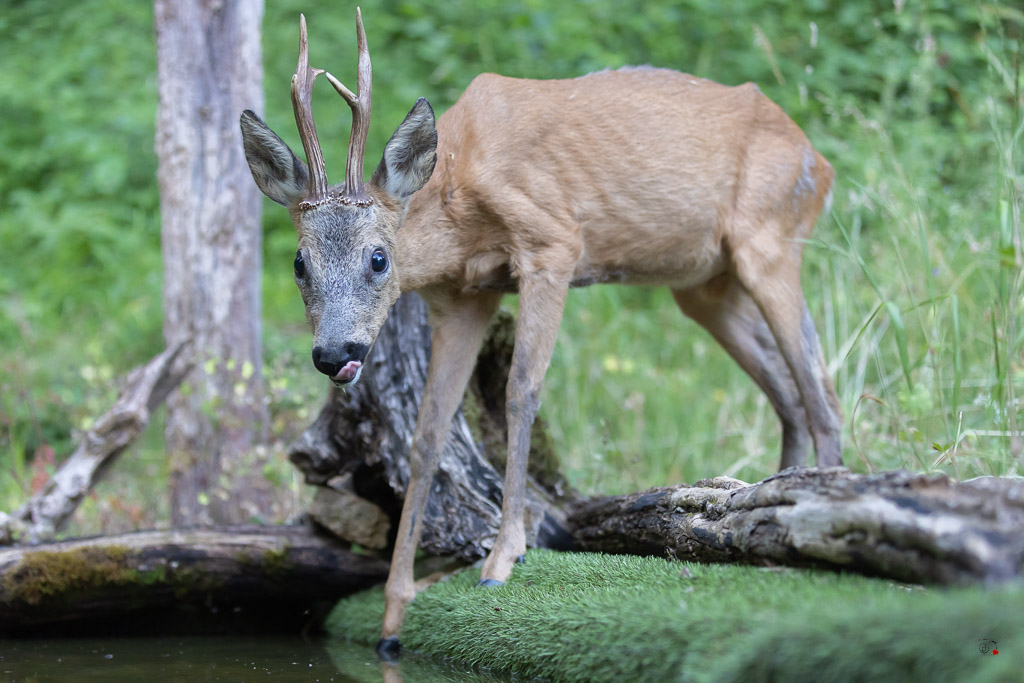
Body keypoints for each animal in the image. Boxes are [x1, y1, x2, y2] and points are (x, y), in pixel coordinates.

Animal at [240, 9, 842, 660]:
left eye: (379, 258)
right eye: (299, 263)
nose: (336, 353)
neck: (458, 199)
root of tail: (819, 158)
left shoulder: (552, 244)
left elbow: (521, 392)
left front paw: (503, 559)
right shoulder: (462, 299)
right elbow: (427, 435)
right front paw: (393, 616)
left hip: (771, 238)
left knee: (821, 392)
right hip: (708, 285)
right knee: (790, 395)